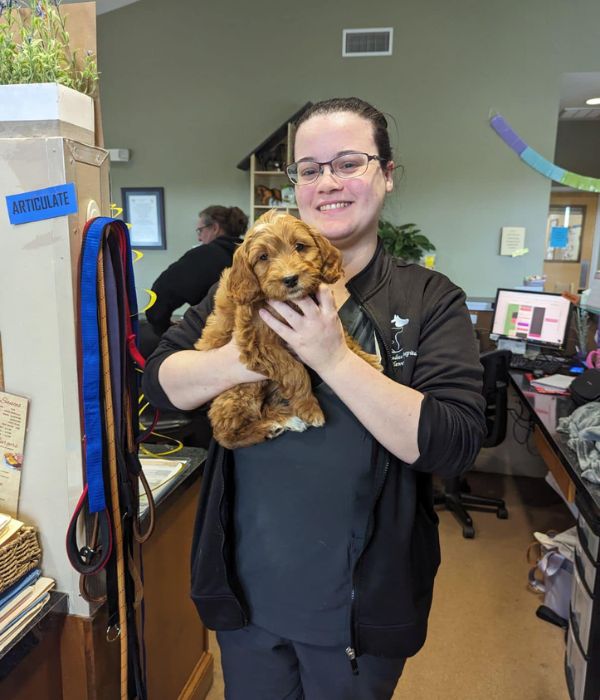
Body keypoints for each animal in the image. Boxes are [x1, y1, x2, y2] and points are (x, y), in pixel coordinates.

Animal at [196, 209, 380, 448]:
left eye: (300, 246)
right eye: (263, 257)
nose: (290, 279)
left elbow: (343, 337)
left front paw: (366, 359)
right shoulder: (259, 343)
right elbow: (294, 370)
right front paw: (310, 408)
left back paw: (285, 419)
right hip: (242, 389)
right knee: (225, 432)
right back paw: (271, 426)